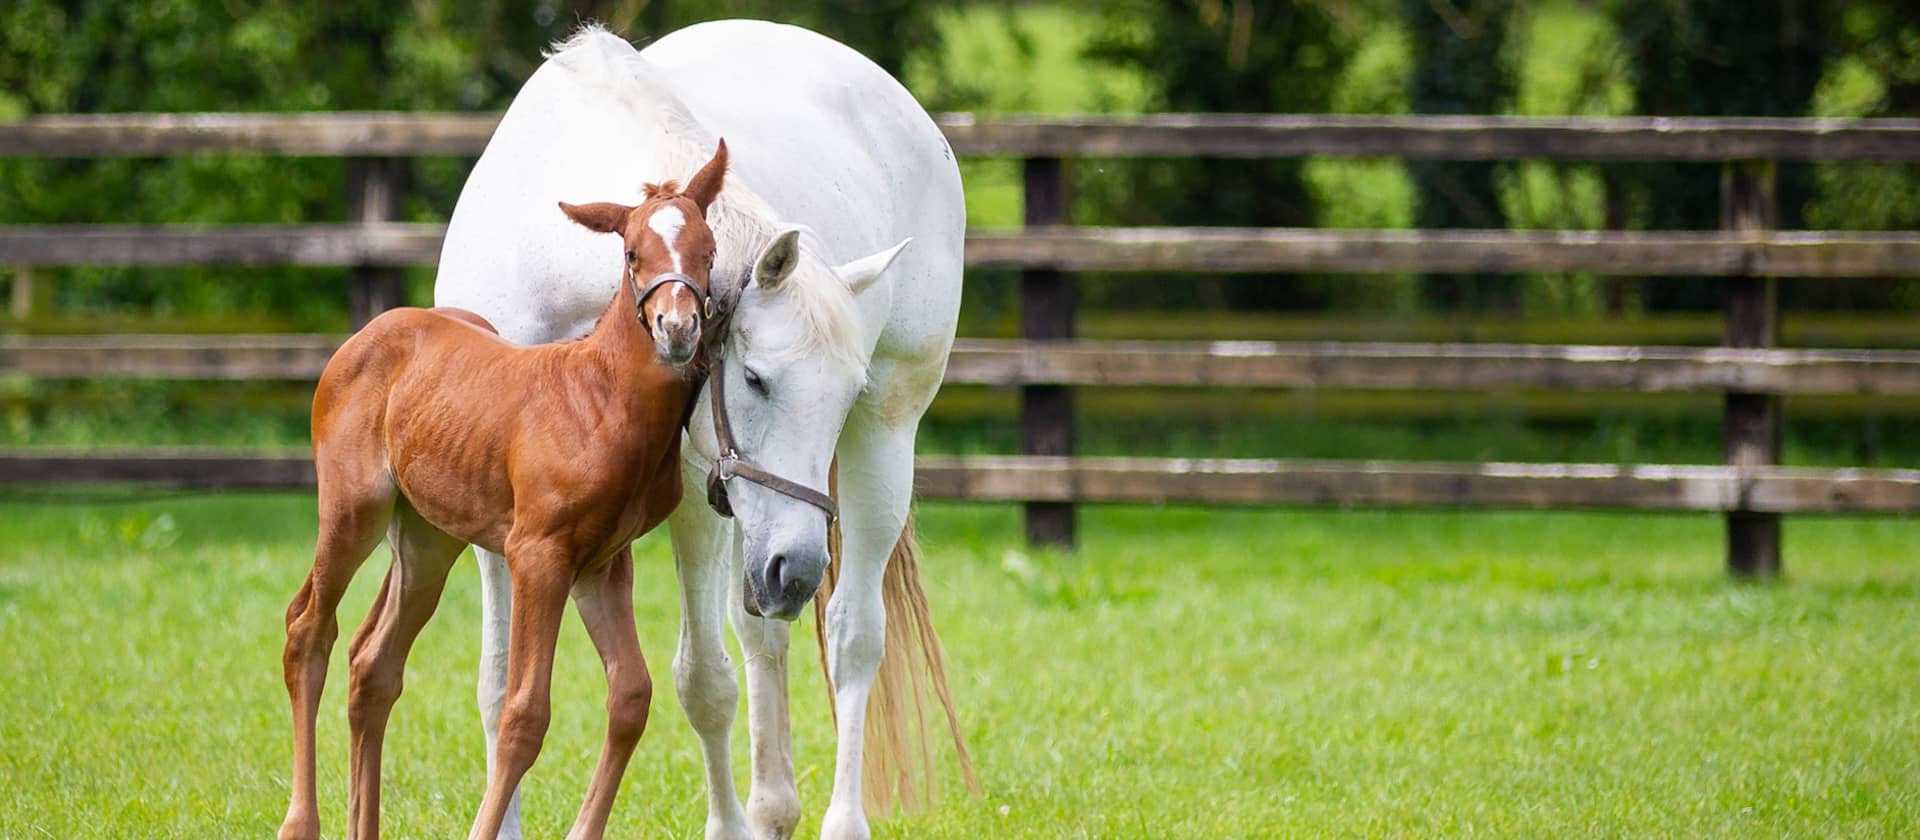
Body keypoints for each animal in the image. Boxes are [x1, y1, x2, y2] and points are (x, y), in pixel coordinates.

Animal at [277, 143, 728, 840]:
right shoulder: (537, 553)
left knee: (373, 662)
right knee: (308, 628)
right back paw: (301, 823)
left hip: (427, 536)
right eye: (632, 253)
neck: (603, 399)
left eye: (709, 249)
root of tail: (368, 333)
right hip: (354, 508)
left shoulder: (601, 564)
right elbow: (524, 714)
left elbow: (631, 696)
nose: (676, 329)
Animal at [432, 21, 974, 840]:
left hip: (876, 448)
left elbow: (704, 680)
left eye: (842, 394)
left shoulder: (696, 493)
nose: (798, 570)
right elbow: (501, 690)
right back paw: (775, 806)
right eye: (754, 379)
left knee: (849, 634)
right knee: (767, 634)